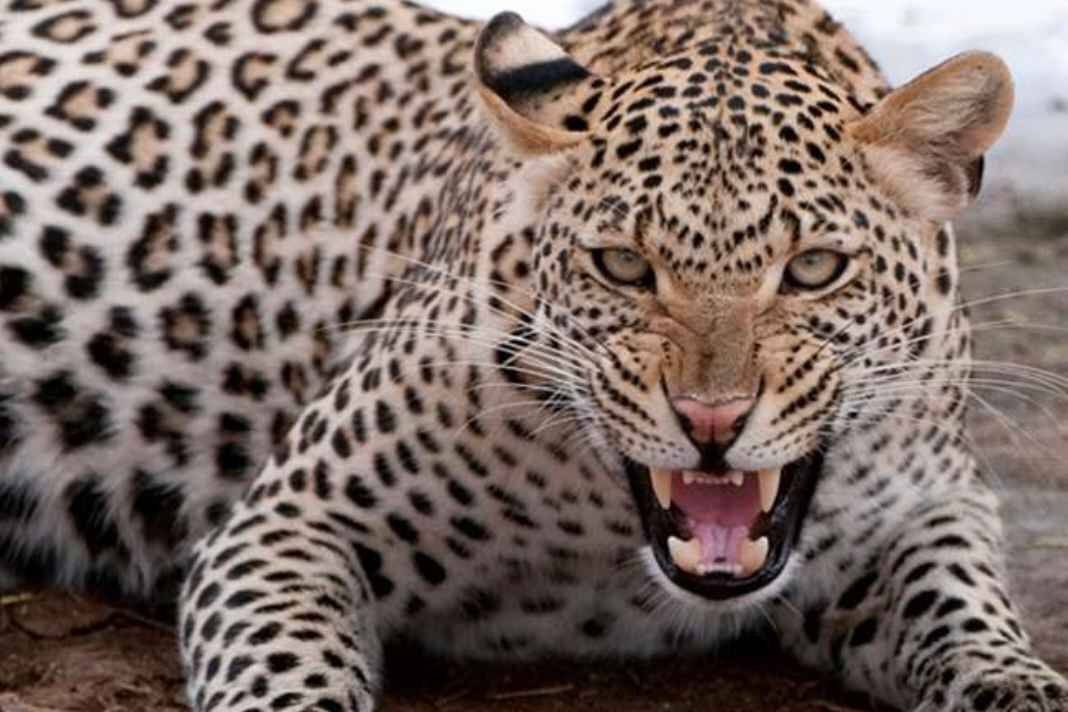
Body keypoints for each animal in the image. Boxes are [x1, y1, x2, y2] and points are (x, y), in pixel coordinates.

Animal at [1, 0, 1065, 710]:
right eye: (623, 264)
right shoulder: (286, 525)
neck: (603, 546)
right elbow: (290, 679)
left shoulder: (929, 507)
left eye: (813, 268)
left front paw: (1017, 679)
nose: (712, 420)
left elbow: (969, 615)